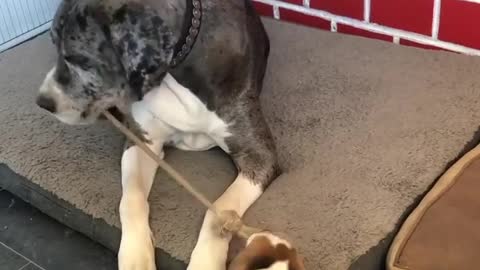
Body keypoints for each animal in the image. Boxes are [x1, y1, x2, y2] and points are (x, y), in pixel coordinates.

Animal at [36, 0, 282, 270]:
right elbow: (130, 199)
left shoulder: (258, 155)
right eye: (54, 44)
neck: (175, 73)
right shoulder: (142, 141)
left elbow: (218, 211)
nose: (42, 102)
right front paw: (135, 257)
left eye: (80, 60)